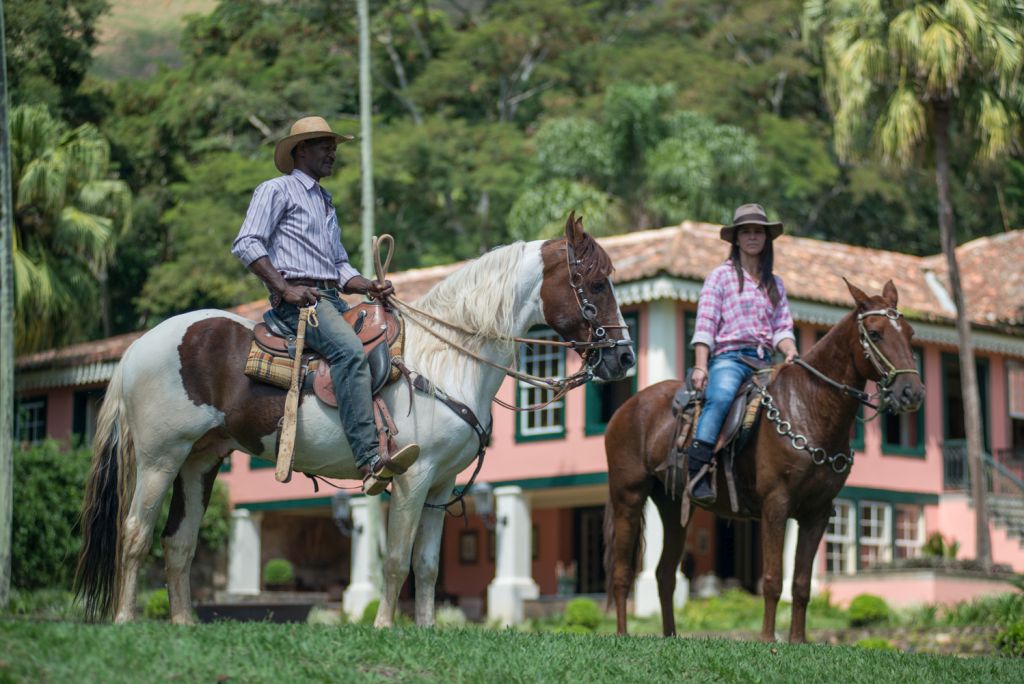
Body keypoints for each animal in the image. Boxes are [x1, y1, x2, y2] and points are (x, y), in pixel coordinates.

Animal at [75, 215, 630, 626]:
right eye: (596, 284)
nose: (623, 359)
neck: (447, 361)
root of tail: (137, 348)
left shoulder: (442, 485)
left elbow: (428, 566)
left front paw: (427, 631)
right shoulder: (412, 477)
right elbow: (396, 560)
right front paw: (385, 628)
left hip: (199, 462)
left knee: (179, 542)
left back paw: (185, 623)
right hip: (159, 458)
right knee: (135, 533)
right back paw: (125, 619)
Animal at [602, 278, 925, 643]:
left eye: (910, 333)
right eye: (875, 332)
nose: (912, 392)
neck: (808, 407)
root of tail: (625, 409)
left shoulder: (817, 513)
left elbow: (800, 584)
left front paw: (798, 641)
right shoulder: (776, 505)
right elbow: (772, 579)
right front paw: (769, 640)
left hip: (673, 507)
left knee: (665, 574)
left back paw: (671, 636)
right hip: (628, 497)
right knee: (622, 573)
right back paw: (622, 634)